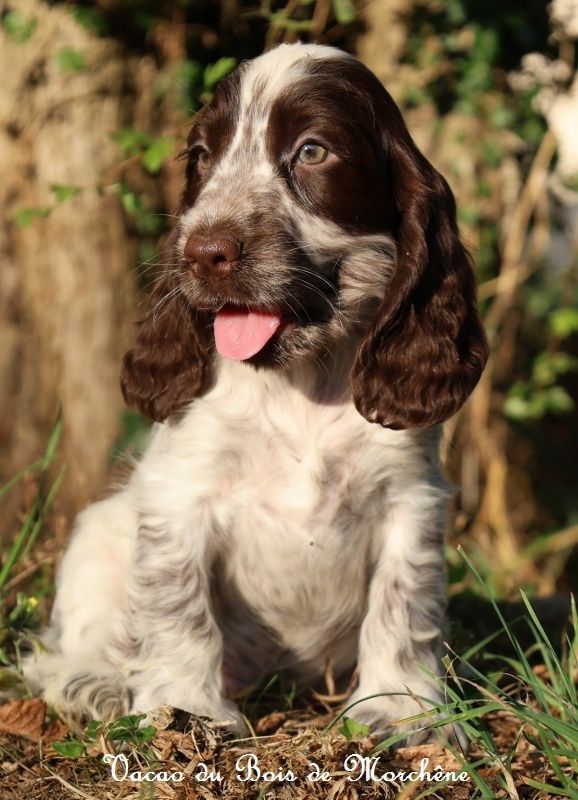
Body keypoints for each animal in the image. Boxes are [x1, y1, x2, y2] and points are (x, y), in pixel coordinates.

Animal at [25, 42, 486, 744]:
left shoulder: (410, 498)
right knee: (79, 637)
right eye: (201, 156)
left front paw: (402, 710)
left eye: (313, 150)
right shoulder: (179, 495)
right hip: (98, 533)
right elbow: (179, 607)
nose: (202, 252)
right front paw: (185, 704)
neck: (299, 383)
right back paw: (92, 684)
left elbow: (404, 604)